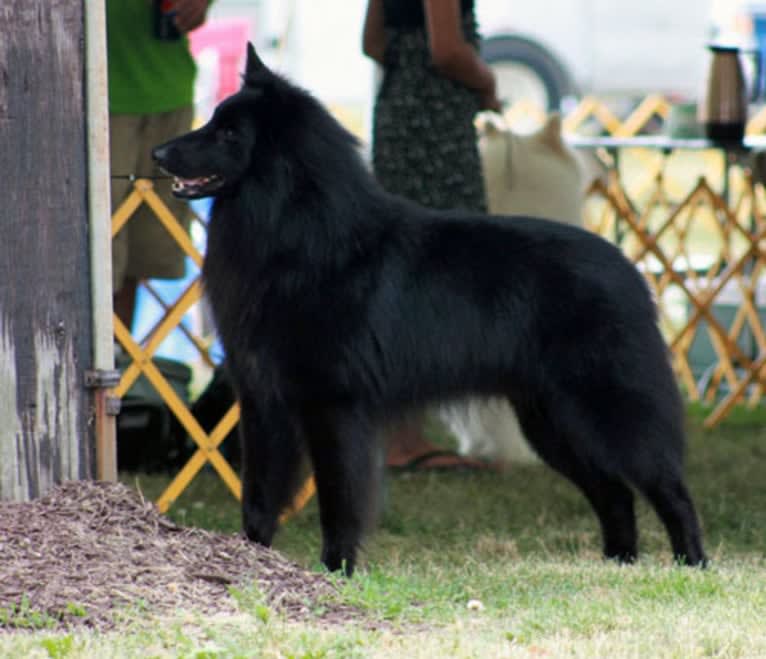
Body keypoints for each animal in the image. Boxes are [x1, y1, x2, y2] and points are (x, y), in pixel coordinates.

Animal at [153, 43, 712, 576]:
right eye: (211, 120)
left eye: (229, 133)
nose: (159, 153)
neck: (298, 234)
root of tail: (630, 271)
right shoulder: (264, 404)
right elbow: (259, 496)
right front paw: (248, 557)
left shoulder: (332, 406)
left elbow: (338, 499)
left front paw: (337, 568)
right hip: (552, 423)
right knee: (614, 491)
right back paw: (620, 563)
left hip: (604, 410)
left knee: (668, 488)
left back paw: (692, 563)